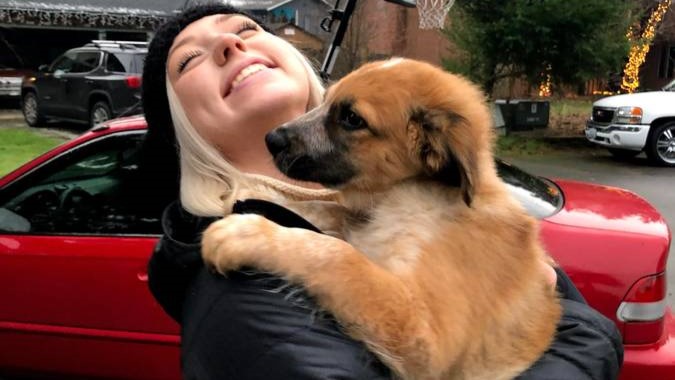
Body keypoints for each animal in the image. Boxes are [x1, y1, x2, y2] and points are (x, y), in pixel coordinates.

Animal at [203, 58, 564, 378]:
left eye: (351, 118)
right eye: (327, 100)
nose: (270, 139)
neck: (407, 195)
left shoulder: (426, 334)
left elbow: (338, 256)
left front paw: (246, 233)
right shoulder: (361, 221)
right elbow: (328, 209)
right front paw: (262, 194)